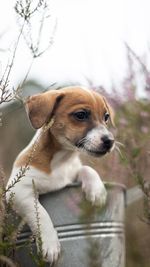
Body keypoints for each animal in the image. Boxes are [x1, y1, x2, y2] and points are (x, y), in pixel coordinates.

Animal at [6, 87, 115, 264]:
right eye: (81, 115)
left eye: (106, 117)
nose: (110, 141)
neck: (61, 159)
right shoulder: (19, 191)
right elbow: (40, 213)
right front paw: (49, 244)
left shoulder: (72, 173)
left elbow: (86, 169)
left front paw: (97, 191)